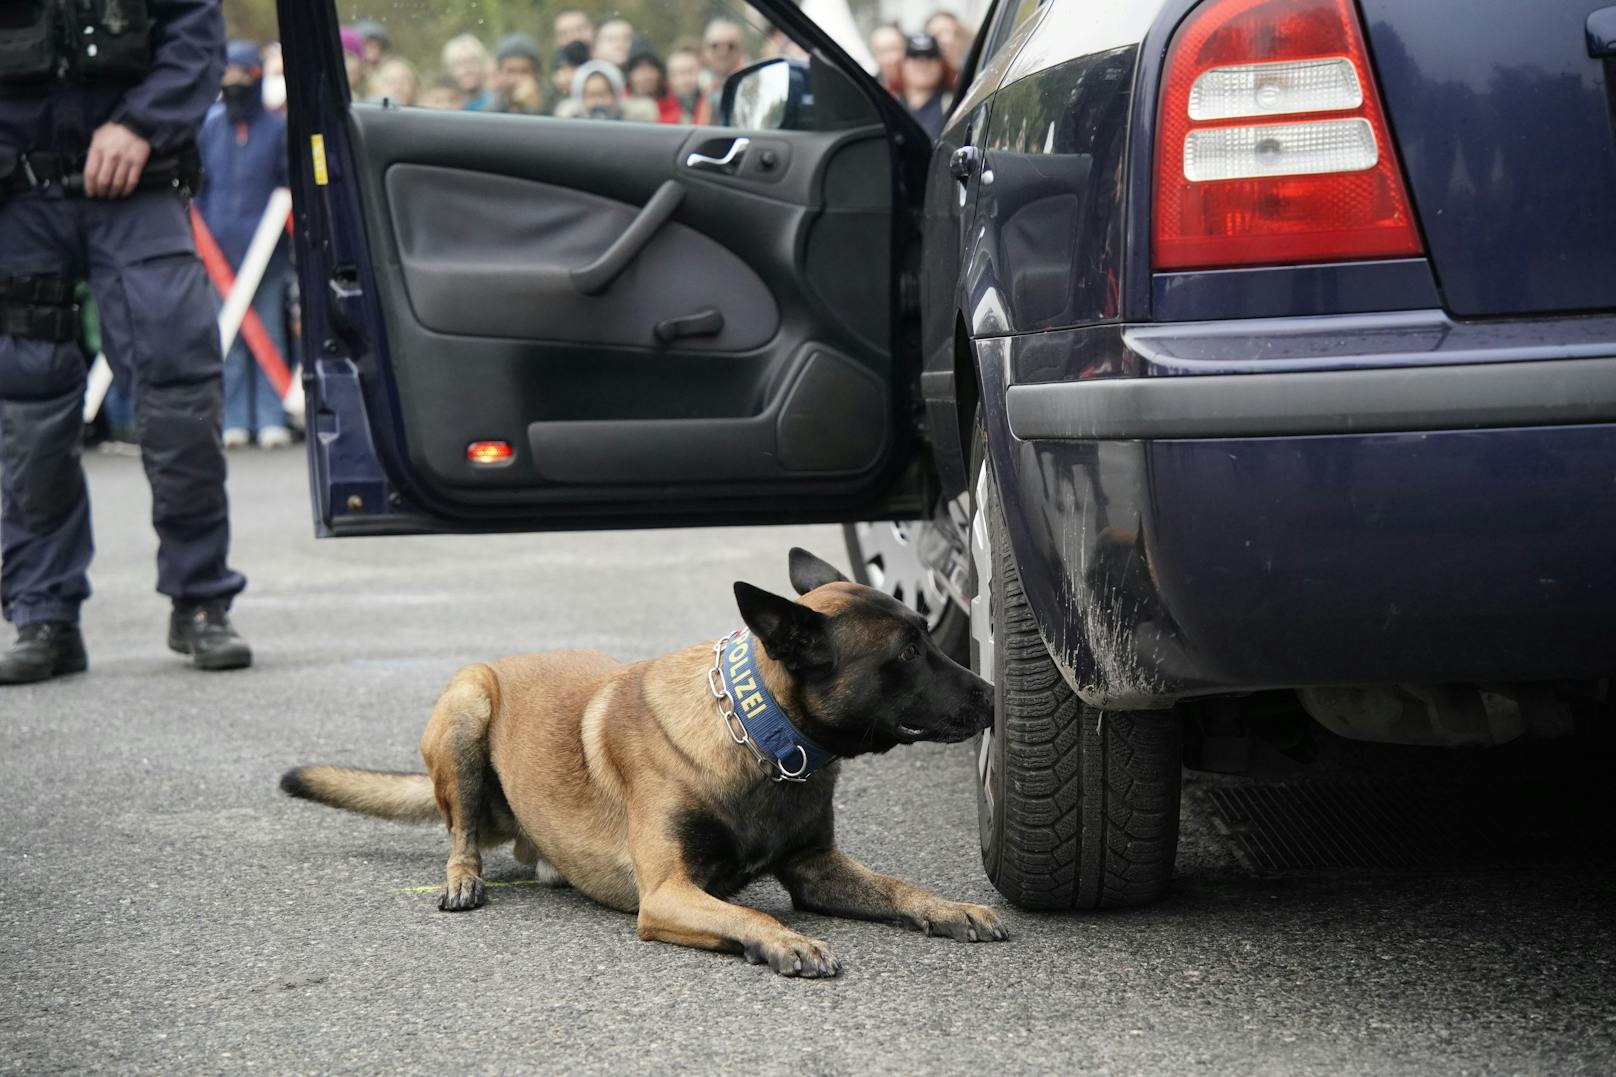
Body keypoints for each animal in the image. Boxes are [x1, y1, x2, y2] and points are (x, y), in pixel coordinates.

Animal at [284, 546, 1001, 970]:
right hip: (467, 703)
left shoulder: (815, 867)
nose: (996, 694)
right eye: (906, 654)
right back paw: (463, 877)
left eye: (926, 637)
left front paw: (949, 907)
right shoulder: (666, 895)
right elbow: (751, 911)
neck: (760, 736)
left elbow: (896, 886)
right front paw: (784, 938)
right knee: (459, 832)